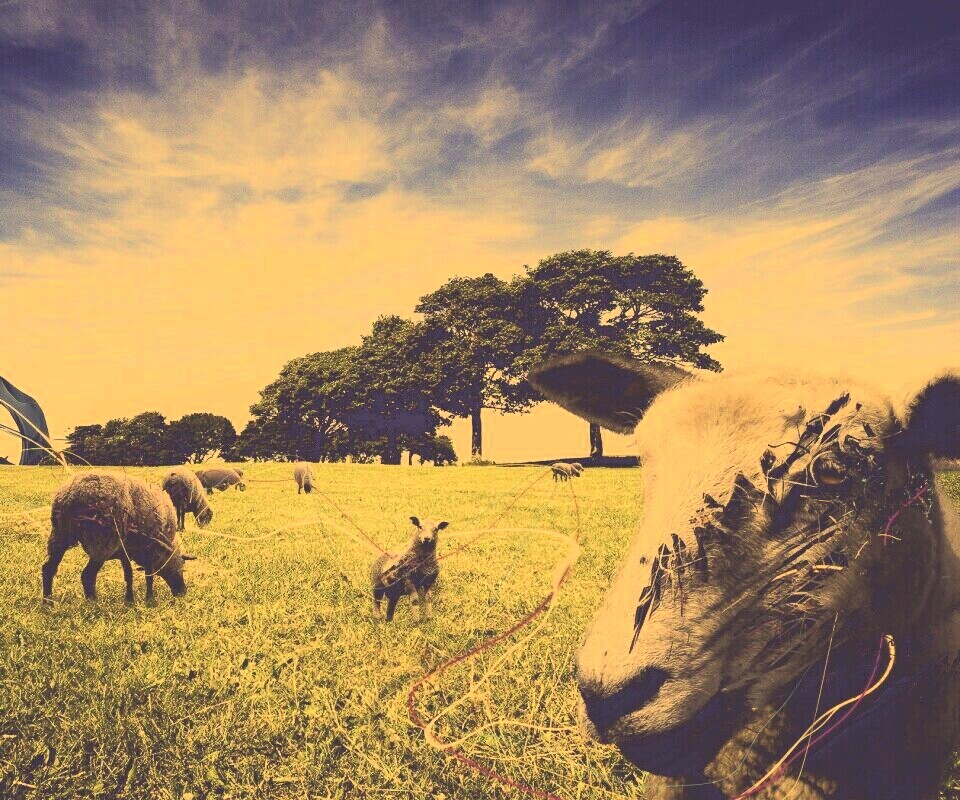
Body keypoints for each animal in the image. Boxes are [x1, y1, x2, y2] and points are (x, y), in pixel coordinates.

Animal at [42, 472, 196, 604]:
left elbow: (129, 575)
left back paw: (47, 602)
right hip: (101, 542)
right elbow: (149, 576)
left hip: (59, 535)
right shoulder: (152, 550)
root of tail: (71, 496)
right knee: (87, 575)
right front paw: (150, 600)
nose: (182, 592)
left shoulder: (125, 552)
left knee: (48, 568)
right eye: (182, 565)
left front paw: (129, 601)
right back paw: (93, 603)